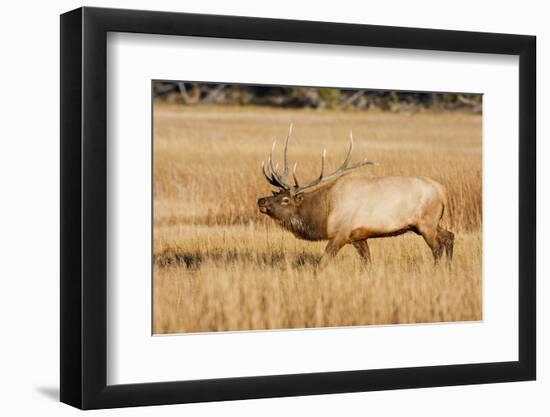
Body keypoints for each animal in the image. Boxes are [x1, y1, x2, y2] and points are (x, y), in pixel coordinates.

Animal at [258, 125, 458, 264]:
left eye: (285, 200)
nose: (261, 201)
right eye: (275, 193)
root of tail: (443, 191)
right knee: (449, 236)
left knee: (437, 248)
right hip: (426, 224)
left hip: (427, 223)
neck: (324, 213)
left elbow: (323, 262)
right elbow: (367, 262)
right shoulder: (359, 237)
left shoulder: (341, 233)